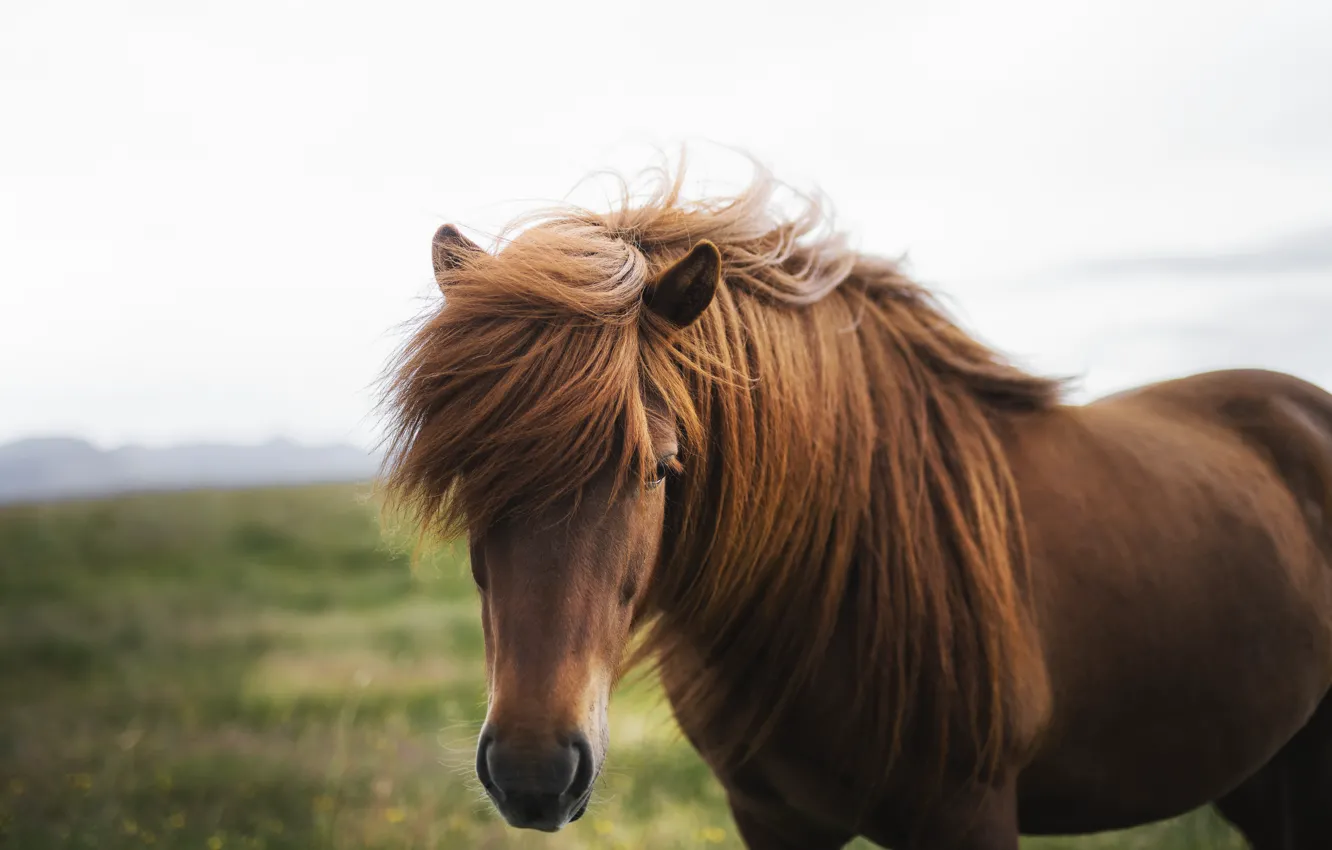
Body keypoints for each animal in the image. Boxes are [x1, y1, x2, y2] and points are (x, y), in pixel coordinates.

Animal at [379, 165, 1332, 849]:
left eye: (660, 468)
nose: (535, 772)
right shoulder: (772, 819)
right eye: (468, 471)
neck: (826, 587)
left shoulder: (969, 816)